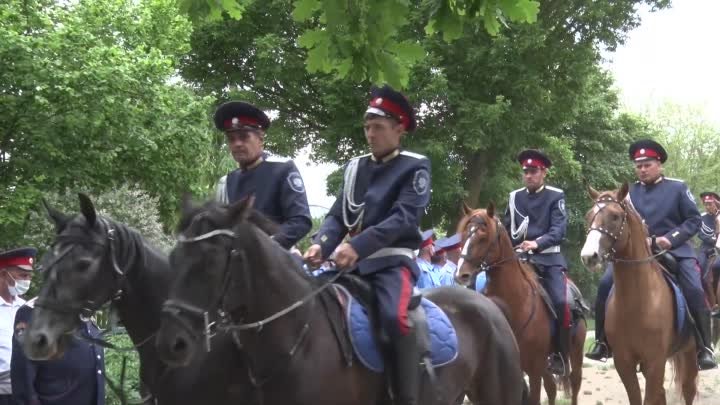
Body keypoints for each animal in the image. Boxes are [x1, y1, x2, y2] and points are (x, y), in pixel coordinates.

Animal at [452, 204, 588, 404]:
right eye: (464, 235)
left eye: (484, 236)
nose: (461, 274)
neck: (515, 303)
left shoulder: (533, 369)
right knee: (552, 388)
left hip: (575, 352)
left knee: (575, 382)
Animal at [580, 184, 696, 404]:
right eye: (588, 215)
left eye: (615, 216)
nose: (589, 256)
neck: (636, 302)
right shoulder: (623, 362)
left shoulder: (655, 362)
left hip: (689, 354)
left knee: (688, 390)